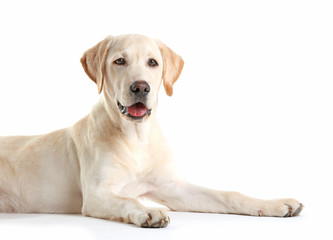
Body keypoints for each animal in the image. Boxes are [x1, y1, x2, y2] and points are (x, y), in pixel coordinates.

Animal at [0, 33, 300, 227]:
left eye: (153, 62)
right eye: (119, 61)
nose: (140, 87)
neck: (136, 139)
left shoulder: (172, 187)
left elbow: (229, 195)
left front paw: (275, 204)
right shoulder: (96, 195)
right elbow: (129, 201)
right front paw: (150, 212)